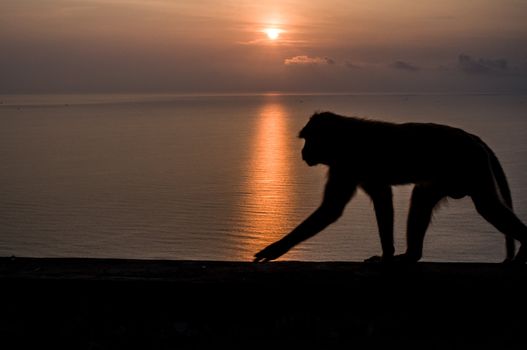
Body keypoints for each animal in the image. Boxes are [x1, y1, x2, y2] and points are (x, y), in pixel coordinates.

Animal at [254, 111, 524, 262]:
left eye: (309, 139)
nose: (303, 152)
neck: (344, 138)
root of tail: (471, 137)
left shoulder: (347, 164)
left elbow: (332, 210)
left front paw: (276, 248)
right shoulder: (349, 167)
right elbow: (381, 198)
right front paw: (387, 255)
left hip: (470, 163)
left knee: (487, 206)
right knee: (423, 196)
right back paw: (411, 256)